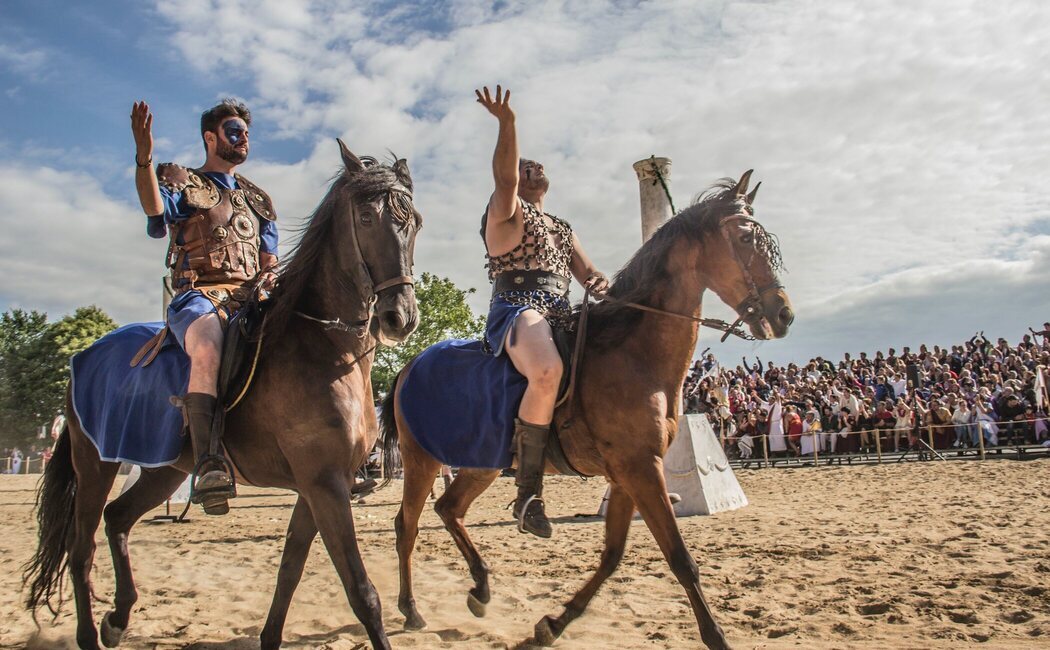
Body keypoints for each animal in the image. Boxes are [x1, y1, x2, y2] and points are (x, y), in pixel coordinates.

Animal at [22, 142, 419, 650]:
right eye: (367, 218)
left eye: (415, 222)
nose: (399, 317)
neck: (323, 346)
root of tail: (85, 354)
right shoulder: (324, 484)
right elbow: (361, 590)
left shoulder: (320, 485)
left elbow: (289, 570)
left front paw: (269, 638)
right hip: (95, 464)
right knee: (81, 547)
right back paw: (91, 633)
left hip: (166, 468)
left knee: (117, 519)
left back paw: (118, 618)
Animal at [382, 170, 789, 646]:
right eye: (744, 238)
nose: (783, 315)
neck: (632, 352)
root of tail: (408, 367)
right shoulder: (640, 469)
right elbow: (680, 558)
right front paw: (716, 636)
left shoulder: (630, 472)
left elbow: (612, 555)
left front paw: (553, 624)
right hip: (421, 461)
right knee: (407, 526)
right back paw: (411, 609)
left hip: (482, 463)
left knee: (449, 510)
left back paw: (480, 588)